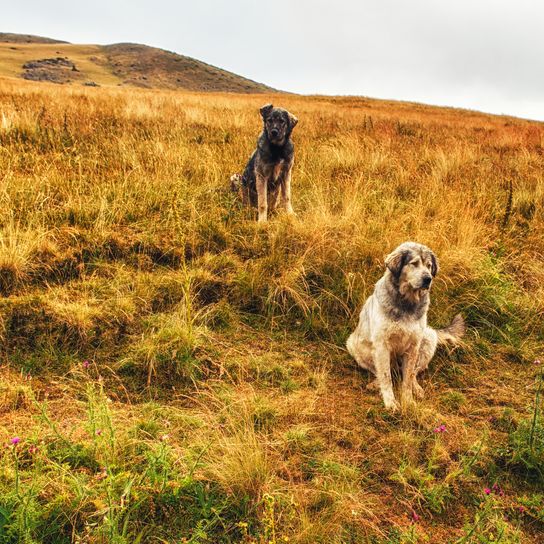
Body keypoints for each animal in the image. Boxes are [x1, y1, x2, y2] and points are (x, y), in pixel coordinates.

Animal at [348, 240, 464, 410]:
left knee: (414, 372)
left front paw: (408, 401)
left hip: (428, 337)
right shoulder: (382, 344)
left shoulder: (413, 345)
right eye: (414, 263)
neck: (407, 303)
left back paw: (417, 388)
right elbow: (385, 376)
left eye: (429, 265)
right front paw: (390, 402)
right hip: (353, 344)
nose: (428, 279)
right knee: (379, 371)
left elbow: (408, 378)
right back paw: (375, 384)